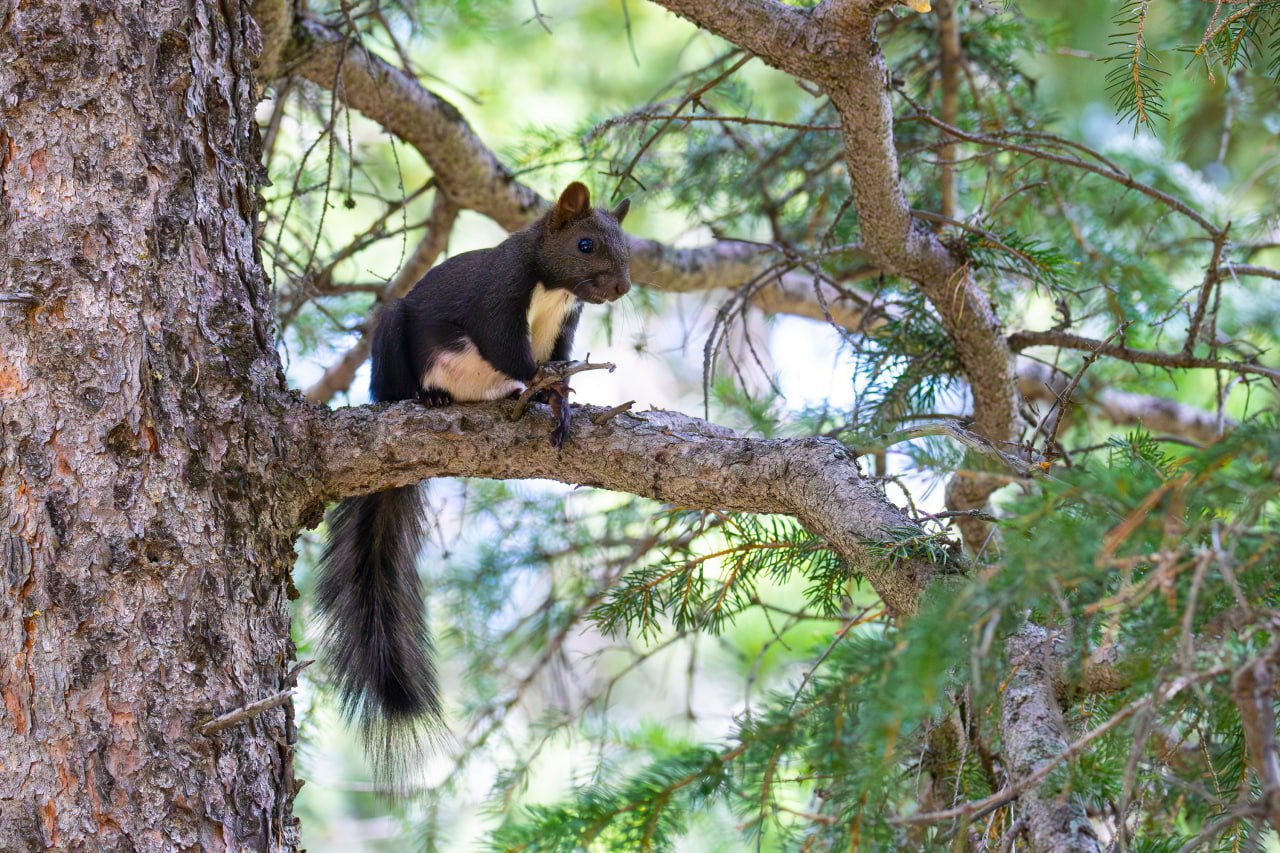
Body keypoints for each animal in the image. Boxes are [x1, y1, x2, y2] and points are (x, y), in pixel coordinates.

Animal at [316, 182, 632, 783]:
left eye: (628, 245)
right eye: (585, 244)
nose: (623, 287)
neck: (552, 288)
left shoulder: (564, 329)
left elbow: (556, 363)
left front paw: (558, 403)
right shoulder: (497, 299)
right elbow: (508, 350)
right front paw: (542, 387)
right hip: (392, 341)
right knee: (394, 383)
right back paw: (426, 397)